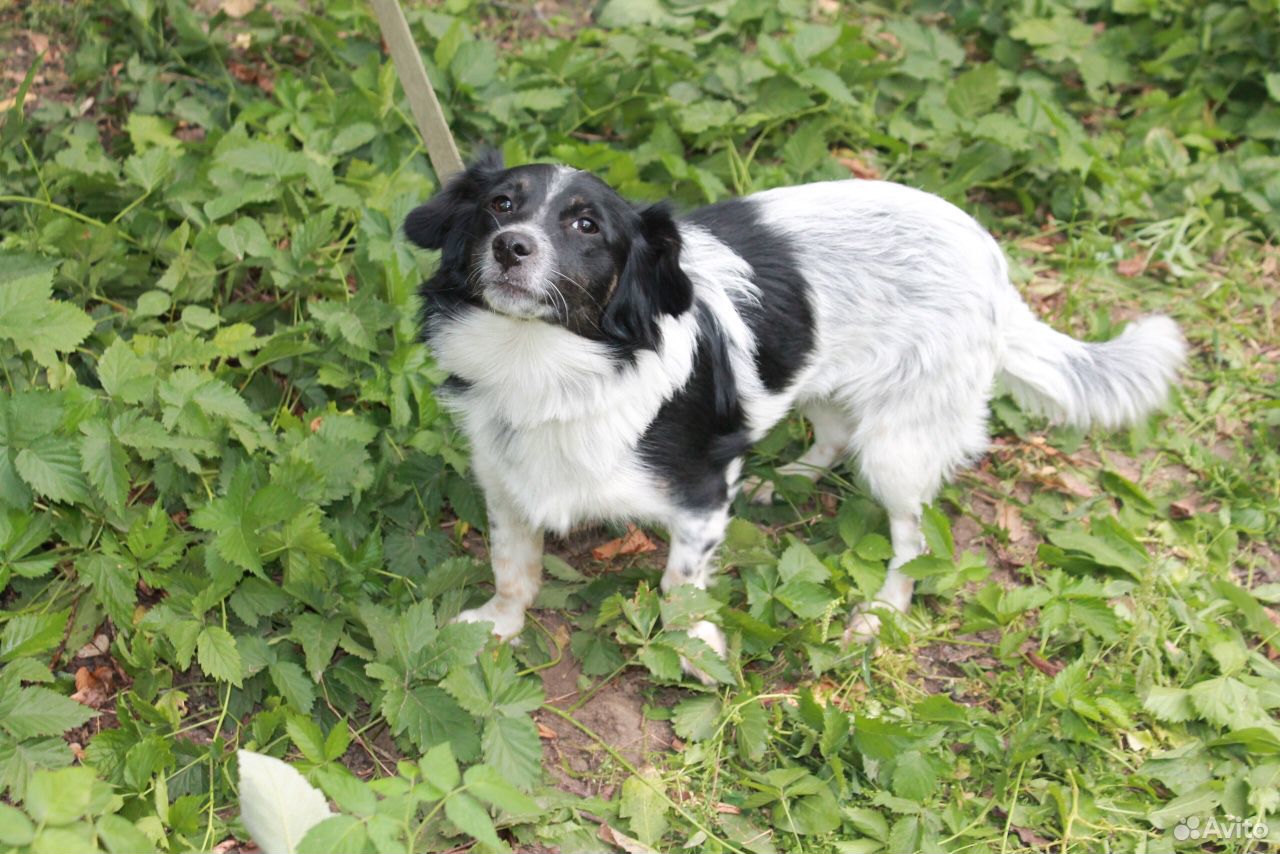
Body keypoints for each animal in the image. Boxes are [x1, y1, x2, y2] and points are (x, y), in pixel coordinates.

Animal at [404, 150, 1182, 676]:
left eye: (586, 225)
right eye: (500, 205)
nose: (511, 247)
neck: (544, 364)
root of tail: (990, 256)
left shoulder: (701, 497)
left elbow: (679, 587)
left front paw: (695, 651)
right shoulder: (505, 480)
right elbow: (513, 565)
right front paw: (497, 626)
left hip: (898, 448)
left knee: (914, 538)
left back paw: (883, 611)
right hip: (819, 380)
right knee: (832, 435)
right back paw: (792, 481)